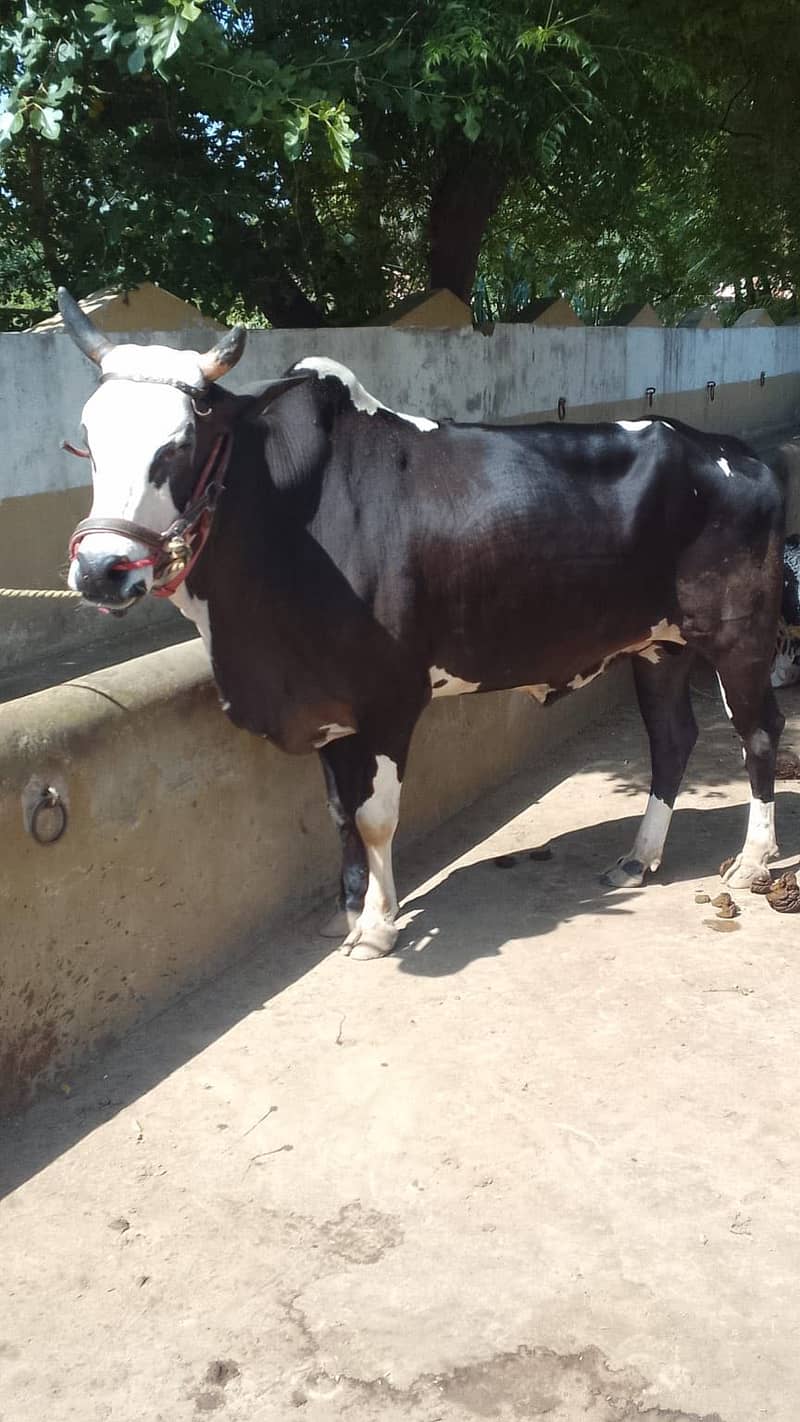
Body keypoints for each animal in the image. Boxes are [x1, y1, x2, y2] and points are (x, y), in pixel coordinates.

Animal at [57, 288, 785, 959]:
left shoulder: (390, 696)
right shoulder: (327, 703)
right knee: (672, 738)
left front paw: (378, 926)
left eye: (180, 445)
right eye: (87, 442)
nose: (100, 568)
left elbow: (376, 816)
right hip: (660, 644)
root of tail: (734, 452)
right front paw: (346, 911)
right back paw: (638, 858)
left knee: (758, 733)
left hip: (739, 634)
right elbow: (339, 812)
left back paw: (752, 862)